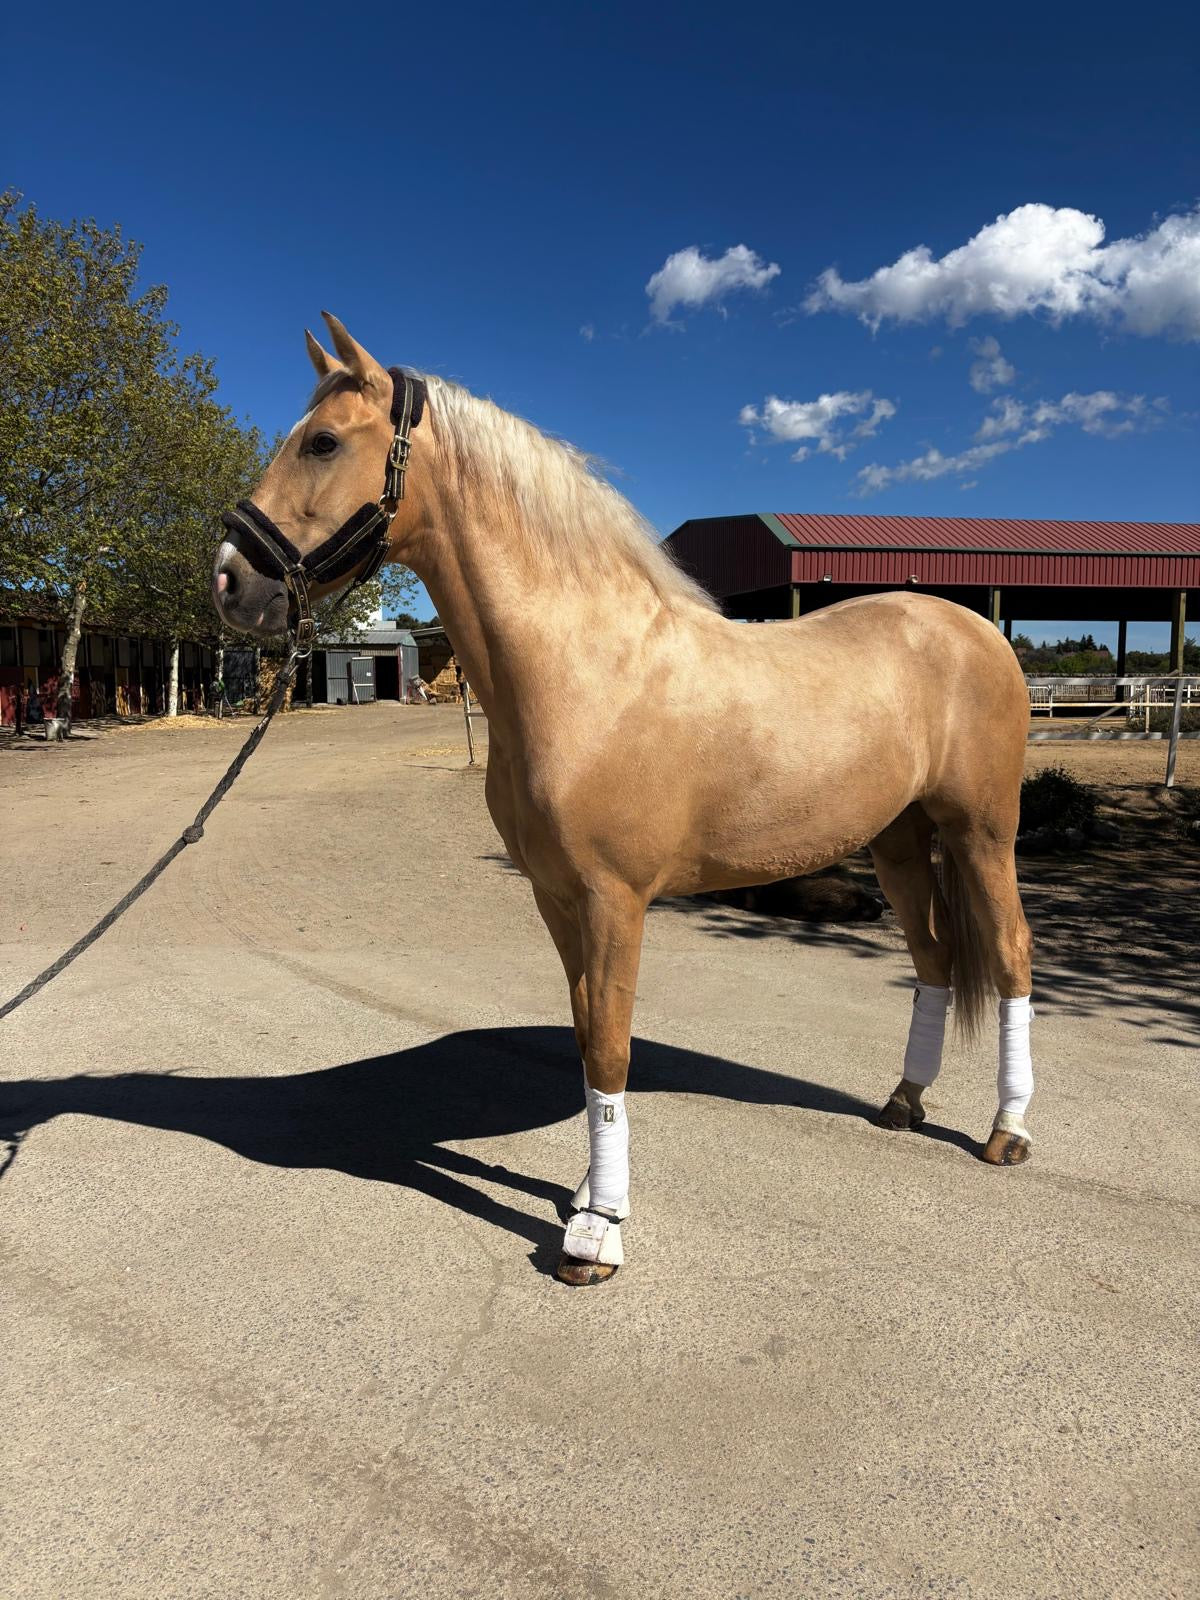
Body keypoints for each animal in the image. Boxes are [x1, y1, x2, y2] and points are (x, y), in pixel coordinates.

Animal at [213, 313, 1036, 1286]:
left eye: (324, 441)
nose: (230, 581)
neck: (585, 670)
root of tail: (976, 627)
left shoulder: (615, 900)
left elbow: (610, 1045)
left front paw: (596, 1233)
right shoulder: (557, 898)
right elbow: (583, 1037)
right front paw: (586, 1198)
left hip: (982, 834)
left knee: (1012, 956)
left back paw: (1007, 1133)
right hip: (901, 841)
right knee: (937, 960)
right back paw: (905, 1101)